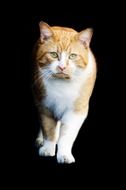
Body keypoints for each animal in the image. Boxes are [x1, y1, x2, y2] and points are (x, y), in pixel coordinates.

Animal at [32, 20, 96, 163]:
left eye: (72, 56)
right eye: (54, 54)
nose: (62, 67)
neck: (62, 86)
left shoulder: (76, 111)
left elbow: (67, 136)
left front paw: (64, 155)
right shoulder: (44, 106)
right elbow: (48, 130)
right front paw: (47, 149)